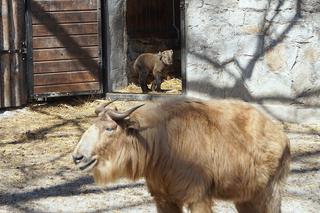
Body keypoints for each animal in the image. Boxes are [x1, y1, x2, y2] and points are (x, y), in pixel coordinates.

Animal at [72, 99, 290, 212]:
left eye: (110, 128)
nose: (77, 157)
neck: (162, 143)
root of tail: (281, 135)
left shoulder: (198, 198)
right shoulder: (164, 199)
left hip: (269, 193)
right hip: (246, 197)